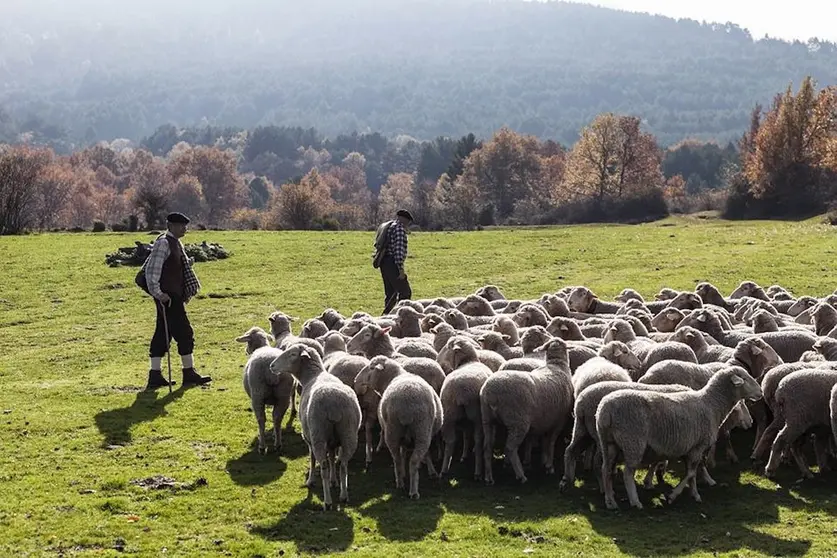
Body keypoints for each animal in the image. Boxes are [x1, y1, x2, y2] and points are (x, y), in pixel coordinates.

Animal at [235, 328, 298, 456]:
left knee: (261, 420)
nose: (246, 351)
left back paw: (262, 446)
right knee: (277, 418)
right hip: (283, 395)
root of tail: (271, 373)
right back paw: (278, 444)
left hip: (257, 395)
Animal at [268, 344, 360, 510]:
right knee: (343, 465)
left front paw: (311, 480)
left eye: (292, 354)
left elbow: (311, 459)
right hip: (349, 433)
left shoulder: (308, 436)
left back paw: (328, 501)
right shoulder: (332, 442)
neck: (312, 376)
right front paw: (334, 481)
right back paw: (343, 496)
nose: (272, 366)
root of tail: (334, 406)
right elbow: (332, 457)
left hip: (318, 434)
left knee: (322, 466)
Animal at [352, 356, 444, 500]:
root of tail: (407, 406)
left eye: (371, 368)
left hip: (397, 430)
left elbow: (406, 453)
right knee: (411, 461)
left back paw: (402, 484)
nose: (356, 381)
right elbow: (414, 452)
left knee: (398, 459)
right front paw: (431, 471)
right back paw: (412, 490)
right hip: (420, 431)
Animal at [476, 336, 576, 486]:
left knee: (487, 447)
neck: (557, 365)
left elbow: (534, 441)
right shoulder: (559, 421)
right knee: (510, 448)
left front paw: (532, 461)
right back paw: (520, 475)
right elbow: (551, 443)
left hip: (487, 420)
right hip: (517, 421)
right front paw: (549, 466)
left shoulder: (541, 421)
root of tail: (490, 393)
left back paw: (489, 477)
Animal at [596, 368, 764, 512]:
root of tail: (604, 411)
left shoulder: (689, 448)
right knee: (627, 473)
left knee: (605, 469)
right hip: (633, 441)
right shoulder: (698, 447)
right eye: (744, 378)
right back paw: (635, 501)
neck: (712, 405)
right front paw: (673, 495)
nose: (761, 392)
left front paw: (694, 494)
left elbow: (693, 473)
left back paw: (610, 501)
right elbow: (691, 473)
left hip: (609, 443)